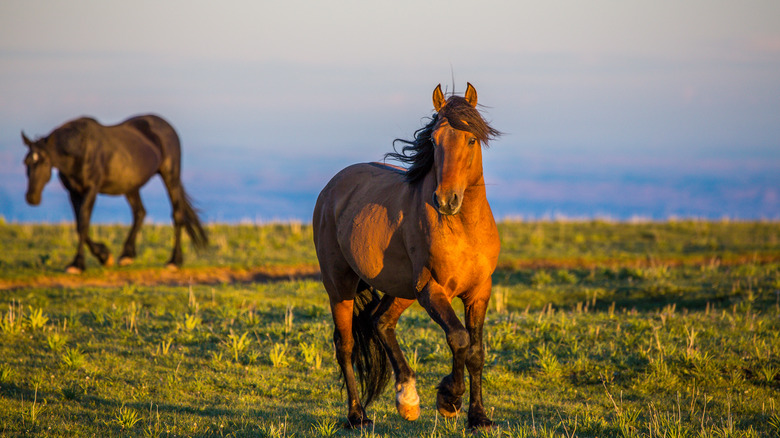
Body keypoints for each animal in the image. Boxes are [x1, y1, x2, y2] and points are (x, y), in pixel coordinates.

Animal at [22, 114, 208, 273]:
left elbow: (83, 223)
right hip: (131, 185)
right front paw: (104, 256)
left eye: (45, 162)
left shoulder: (91, 189)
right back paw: (127, 256)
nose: (32, 197)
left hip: (170, 176)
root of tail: (166, 125)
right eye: (26, 162)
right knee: (140, 212)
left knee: (177, 214)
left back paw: (174, 261)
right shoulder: (73, 192)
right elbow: (79, 225)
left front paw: (78, 264)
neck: (81, 150)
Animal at [313, 83, 501, 429]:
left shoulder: (479, 292)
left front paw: (478, 416)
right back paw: (357, 416)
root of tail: (332, 188)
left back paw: (407, 399)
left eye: (470, 139)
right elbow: (459, 338)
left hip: (401, 290)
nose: (446, 200)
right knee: (345, 346)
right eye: (434, 140)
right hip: (340, 286)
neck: (463, 228)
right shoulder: (432, 290)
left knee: (381, 322)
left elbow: (476, 351)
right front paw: (449, 399)